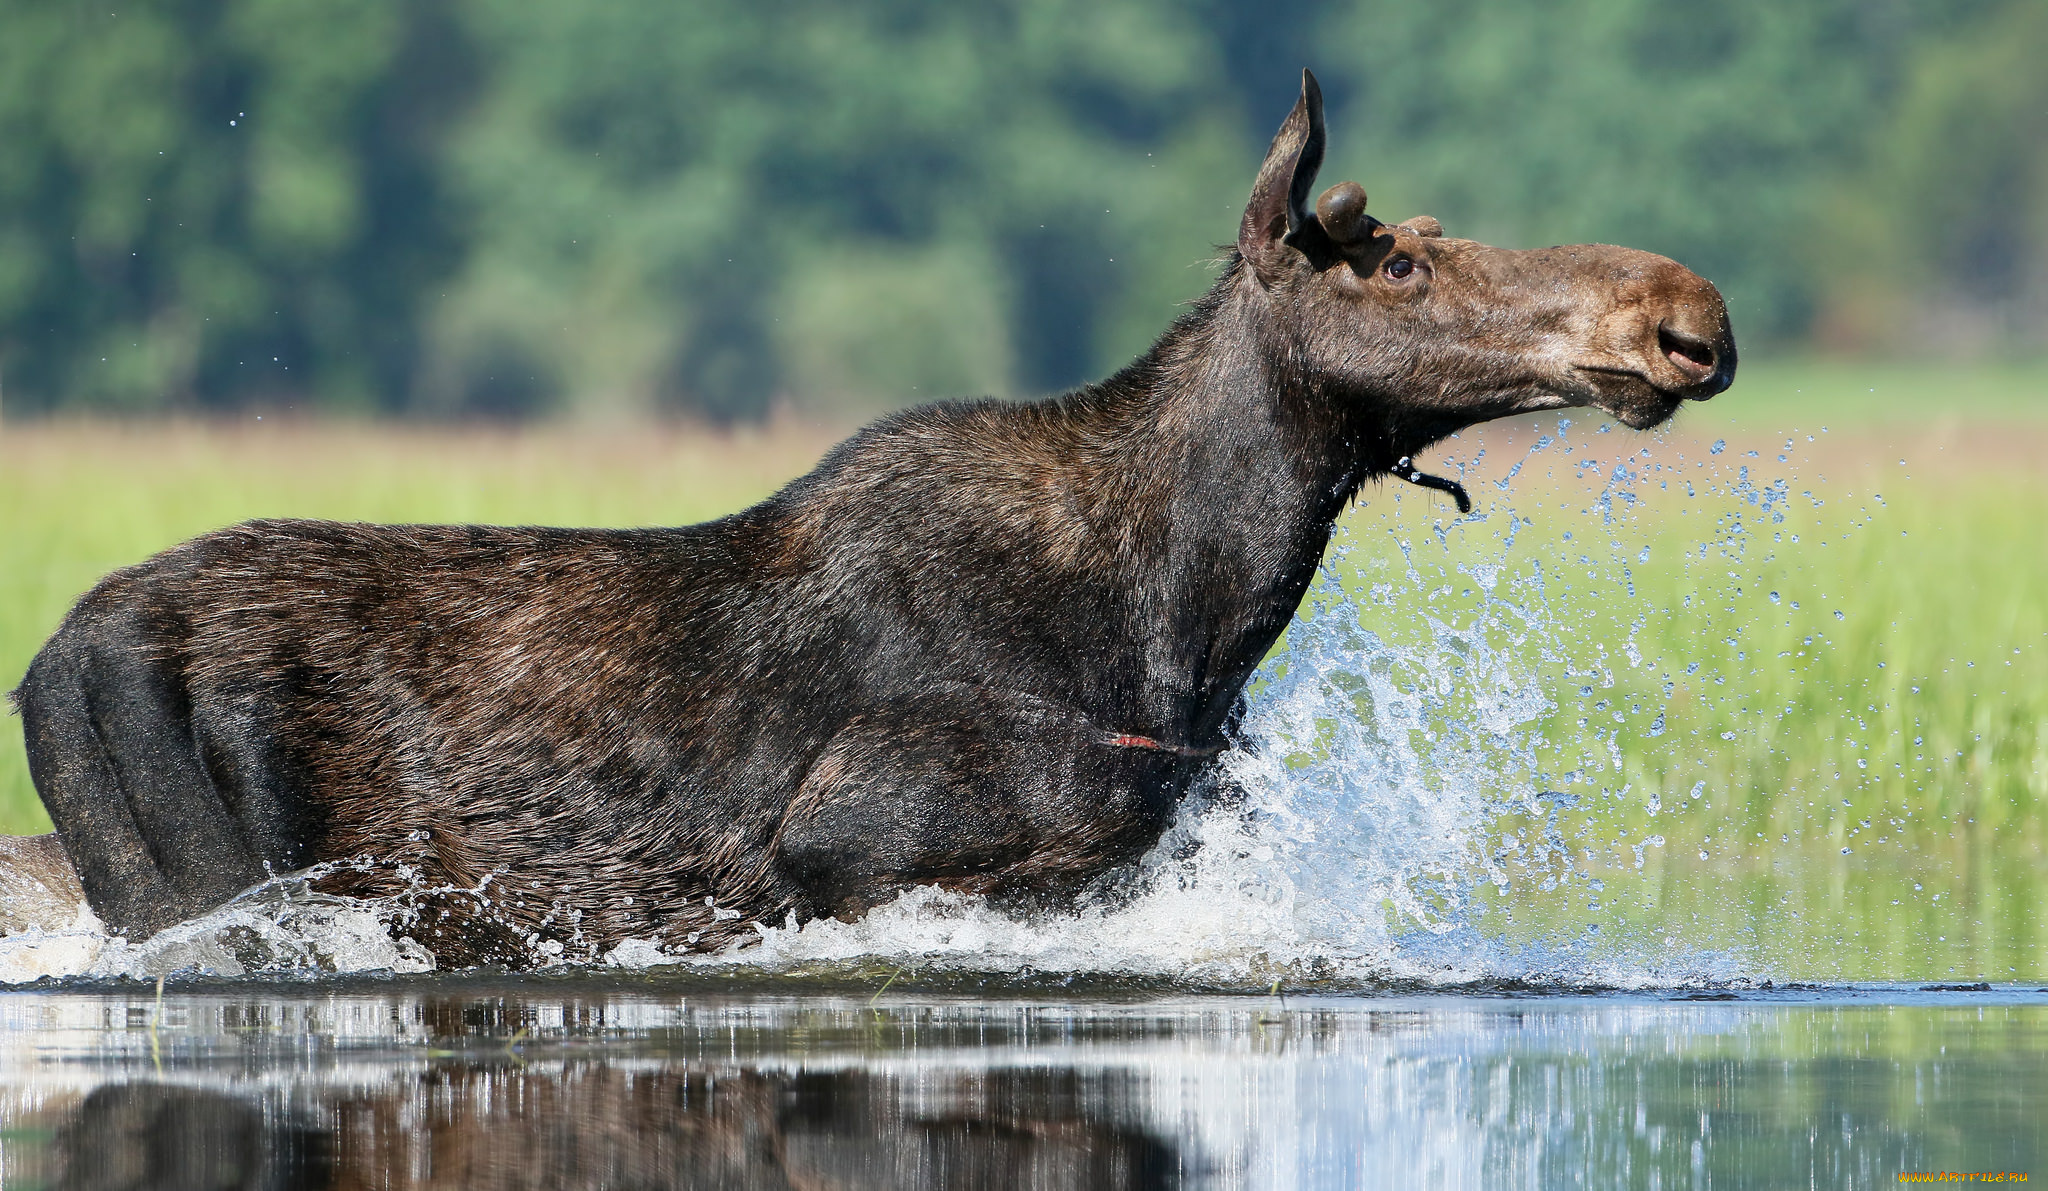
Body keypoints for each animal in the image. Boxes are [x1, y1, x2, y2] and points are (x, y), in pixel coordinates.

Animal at [4, 72, 1728, 969]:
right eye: (1398, 259)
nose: (1682, 315)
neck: (1193, 610)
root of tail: (45, 659)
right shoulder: (863, 835)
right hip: (195, 887)